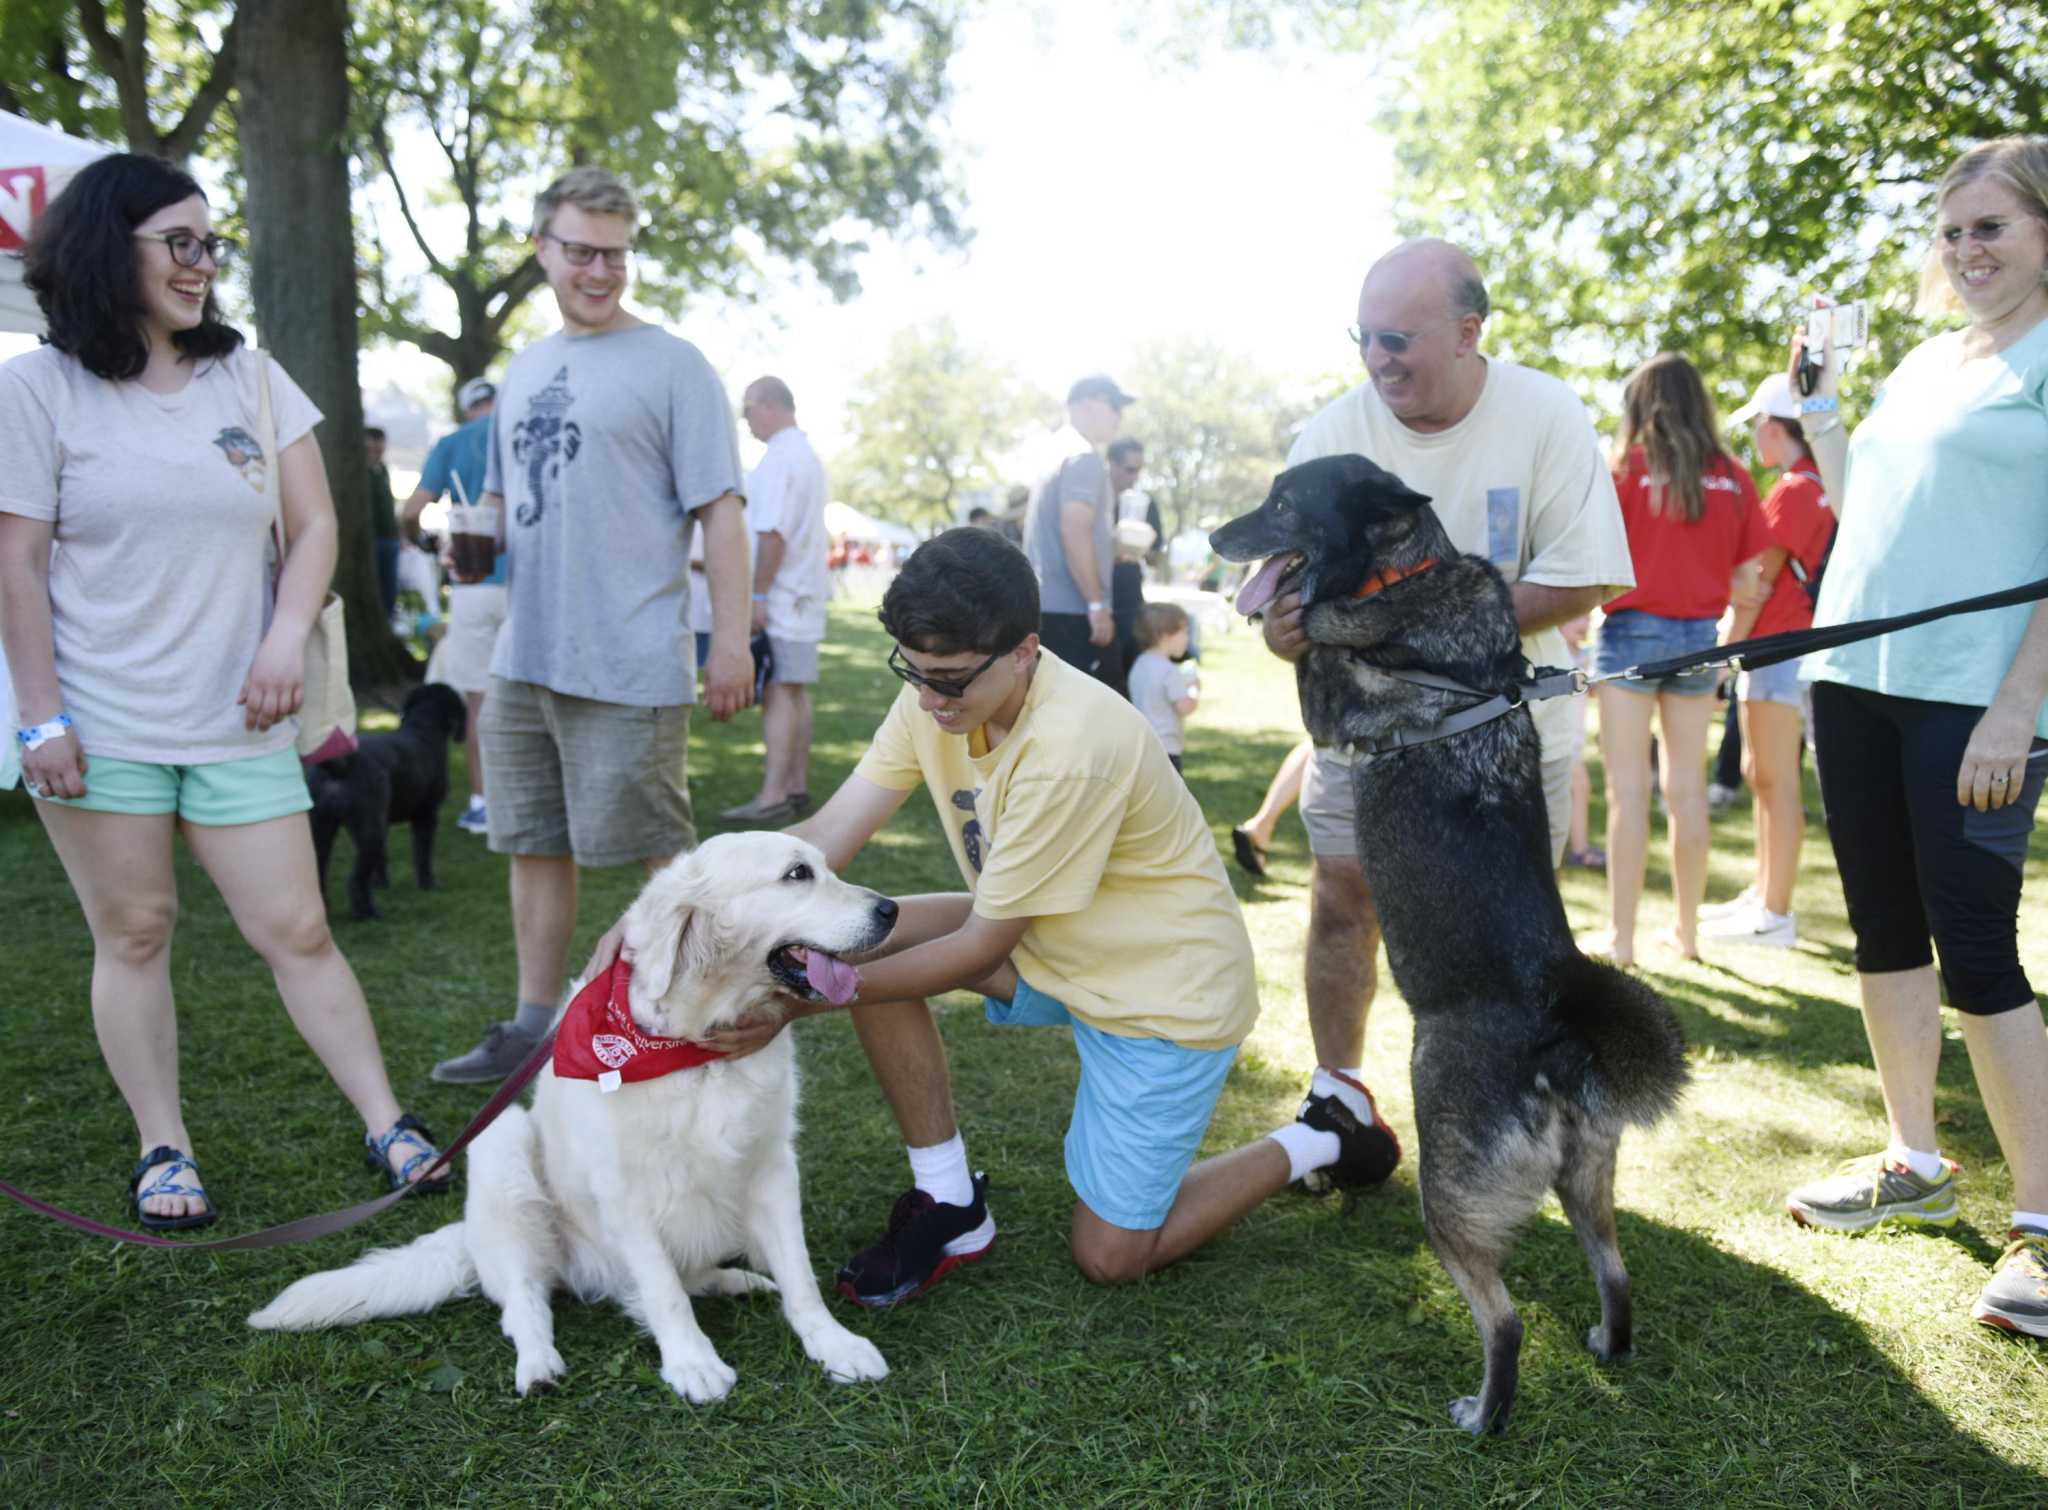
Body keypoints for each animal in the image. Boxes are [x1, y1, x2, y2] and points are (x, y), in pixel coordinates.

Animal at [1204, 452, 1687, 1434]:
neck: (1405, 575)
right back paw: (1606, 1343)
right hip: (1588, 1181)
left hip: (1452, 1189)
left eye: (1283, 503)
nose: (1208, 535)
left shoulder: (1333, 695)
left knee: (1503, 1321)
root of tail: (1557, 1020)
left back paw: (1485, 1413)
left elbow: (1318, 649)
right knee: (1616, 1272)